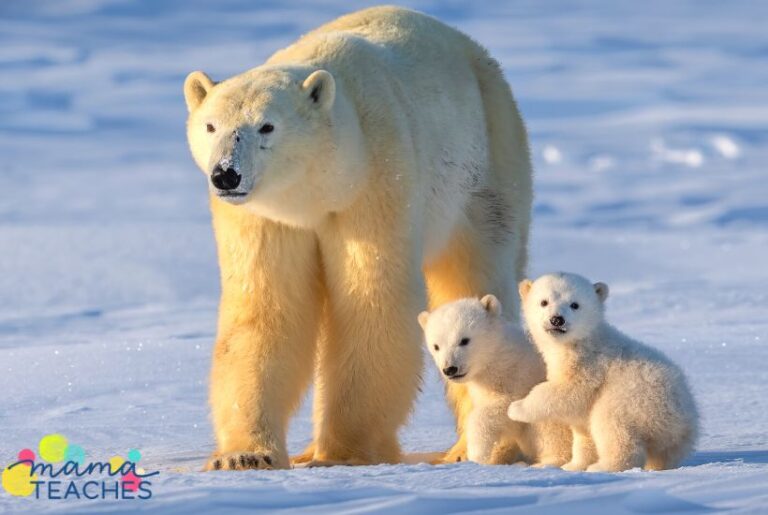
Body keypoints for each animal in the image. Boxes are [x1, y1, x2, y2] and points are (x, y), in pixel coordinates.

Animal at [183, 6, 533, 470]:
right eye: (210, 126)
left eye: (267, 126)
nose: (226, 174)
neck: (319, 190)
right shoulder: (265, 218)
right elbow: (266, 310)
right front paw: (244, 456)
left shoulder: (375, 181)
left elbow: (371, 303)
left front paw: (343, 454)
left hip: (486, 166)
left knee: (476, 273)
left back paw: (474, 448)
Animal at [418, 295, 571, 466]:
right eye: (436, 346)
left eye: (464, 340)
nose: (450, 369)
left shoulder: (520, 377)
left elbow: (503, 409)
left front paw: (477, 453)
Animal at [507, 273, 699, 472]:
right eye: (544, 302)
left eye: (575, 304)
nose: (557, 319)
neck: (580, 341)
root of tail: (683, 420)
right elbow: (583, 431)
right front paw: (573, 466)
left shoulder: (589, 365)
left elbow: (568, 391)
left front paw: (516, 408)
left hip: (634, 399)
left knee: (611, 425)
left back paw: (603, 466)